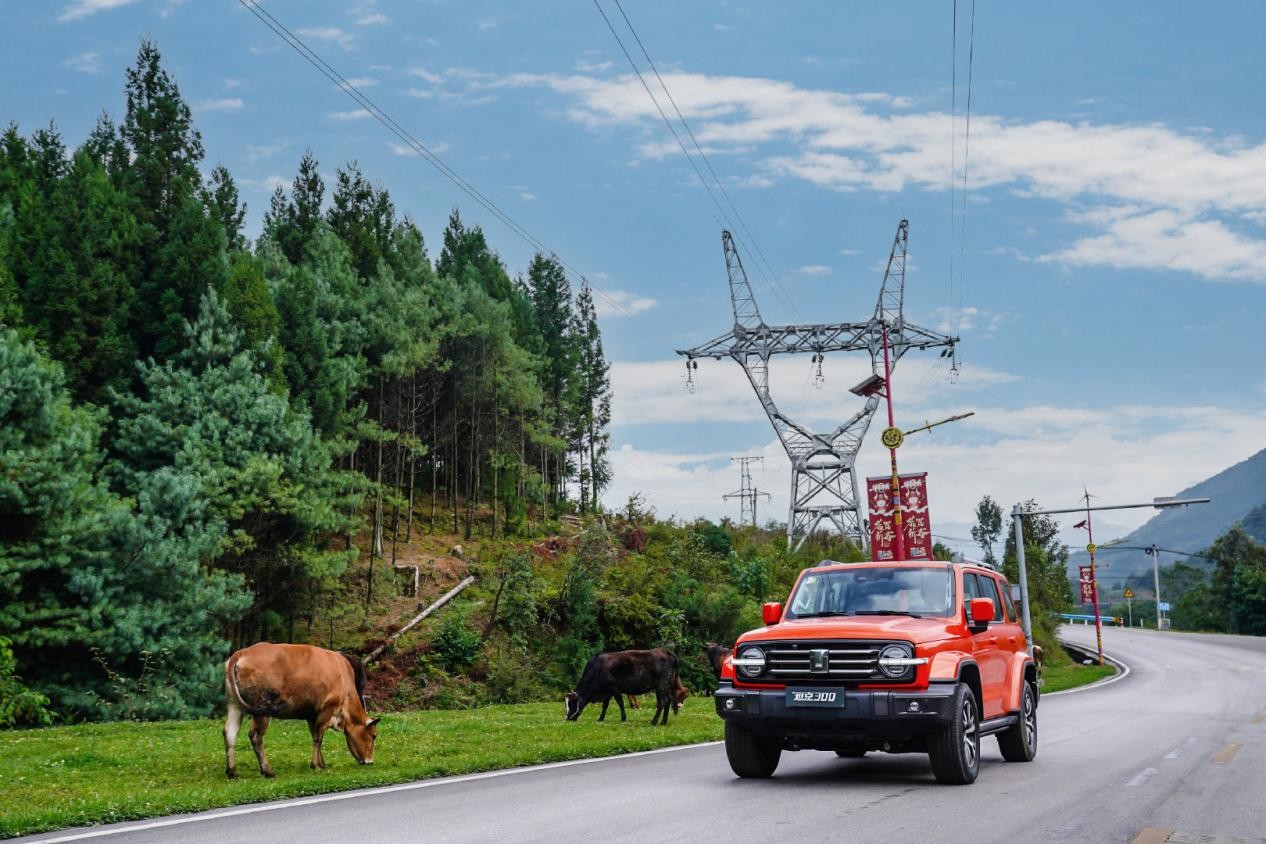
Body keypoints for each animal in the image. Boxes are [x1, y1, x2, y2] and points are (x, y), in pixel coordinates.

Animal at [222, 647, 379, 779]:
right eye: (374, 735)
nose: (370, 762)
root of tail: (240, 653)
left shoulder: (312, 715)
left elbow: (315, 736)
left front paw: (321, 763)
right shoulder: (326, 709)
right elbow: (318, 738)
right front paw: (315, 765)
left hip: (234, 704)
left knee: (230, 733)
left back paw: (232, 772)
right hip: (262, 710)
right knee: (255, 736)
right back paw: (268, 771)